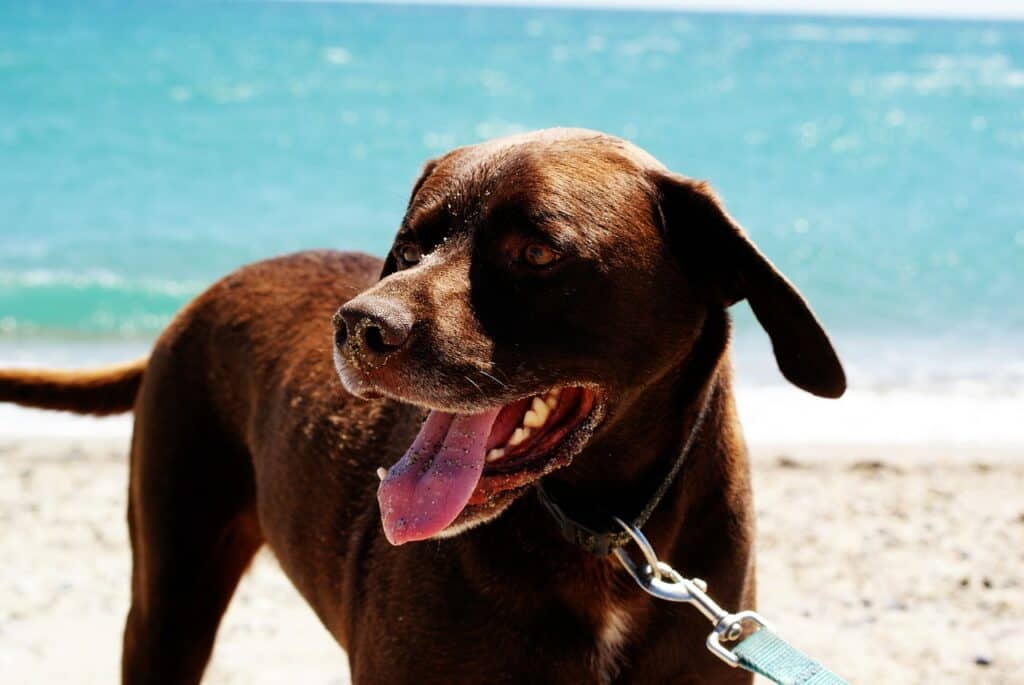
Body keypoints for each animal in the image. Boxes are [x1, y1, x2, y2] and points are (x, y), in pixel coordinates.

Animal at [0, 129, 843, 683]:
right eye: (408, 246)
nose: (357, 326)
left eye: (538, 252)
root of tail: (197, 301)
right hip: (169, 599)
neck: (601, 533)